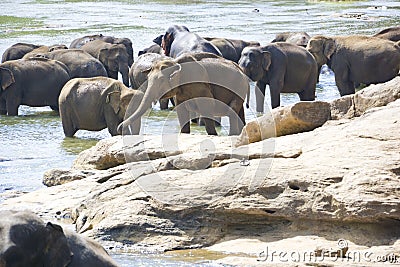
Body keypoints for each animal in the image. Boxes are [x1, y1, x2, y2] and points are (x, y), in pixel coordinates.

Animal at [118, 52, 250, 136]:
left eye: (161, 80)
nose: (119, 128)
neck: (174, 62)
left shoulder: (200, 85)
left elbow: (207, 107)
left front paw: (213, 135)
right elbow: (181, 111)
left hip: (239, 87)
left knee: (232, 111)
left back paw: (233, 135)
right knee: (239, 112)